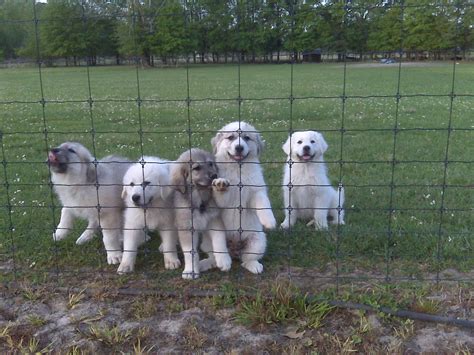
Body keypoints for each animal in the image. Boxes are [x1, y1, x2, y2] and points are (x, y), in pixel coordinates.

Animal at [171, 149, 232, 280]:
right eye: (196, 168)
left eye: (210, 164)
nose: (214, 176)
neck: (200, 200)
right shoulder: (186, 228)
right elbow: (190, 252)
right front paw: (190, 270)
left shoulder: (214, 219)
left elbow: (219, 241)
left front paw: (224, 260)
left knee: (212, 255)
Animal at [212, 122, 278, 276]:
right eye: (231, 137)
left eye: (247, 138)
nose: (239, 147)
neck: (238, 170)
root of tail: (234, 250)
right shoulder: (221, 201)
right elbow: (222, 194)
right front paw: (221, 184)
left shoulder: (256, 191)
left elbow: (263, 202)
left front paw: (269, 221)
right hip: (216, 233)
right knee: (218, 248)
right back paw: (223, 262)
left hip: (258, 241)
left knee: (246, 259)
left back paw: (254, 266)